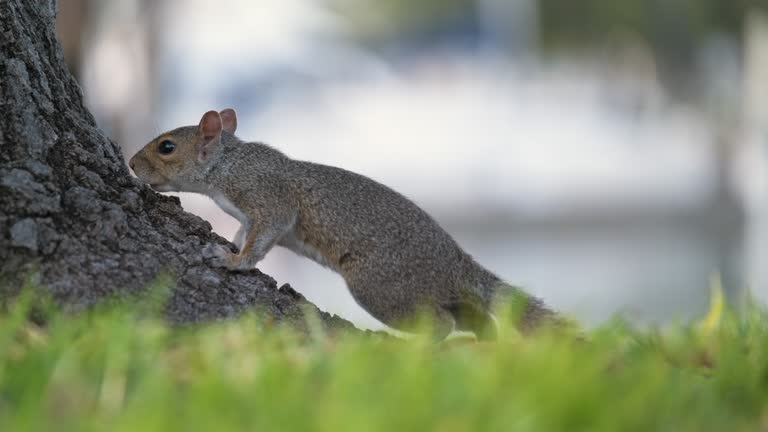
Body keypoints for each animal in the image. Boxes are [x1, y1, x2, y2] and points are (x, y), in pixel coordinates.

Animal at [129, 109, 556, 340]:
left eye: (166, 147)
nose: (131, 164)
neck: (227, 162)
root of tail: (455, 263)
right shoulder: (248, 212)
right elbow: (244, 232)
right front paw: (233, 245)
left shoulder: (268, 196)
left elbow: (264, 234)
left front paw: (232, 261)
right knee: (475, 317)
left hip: (380, 284)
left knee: (441, 322)